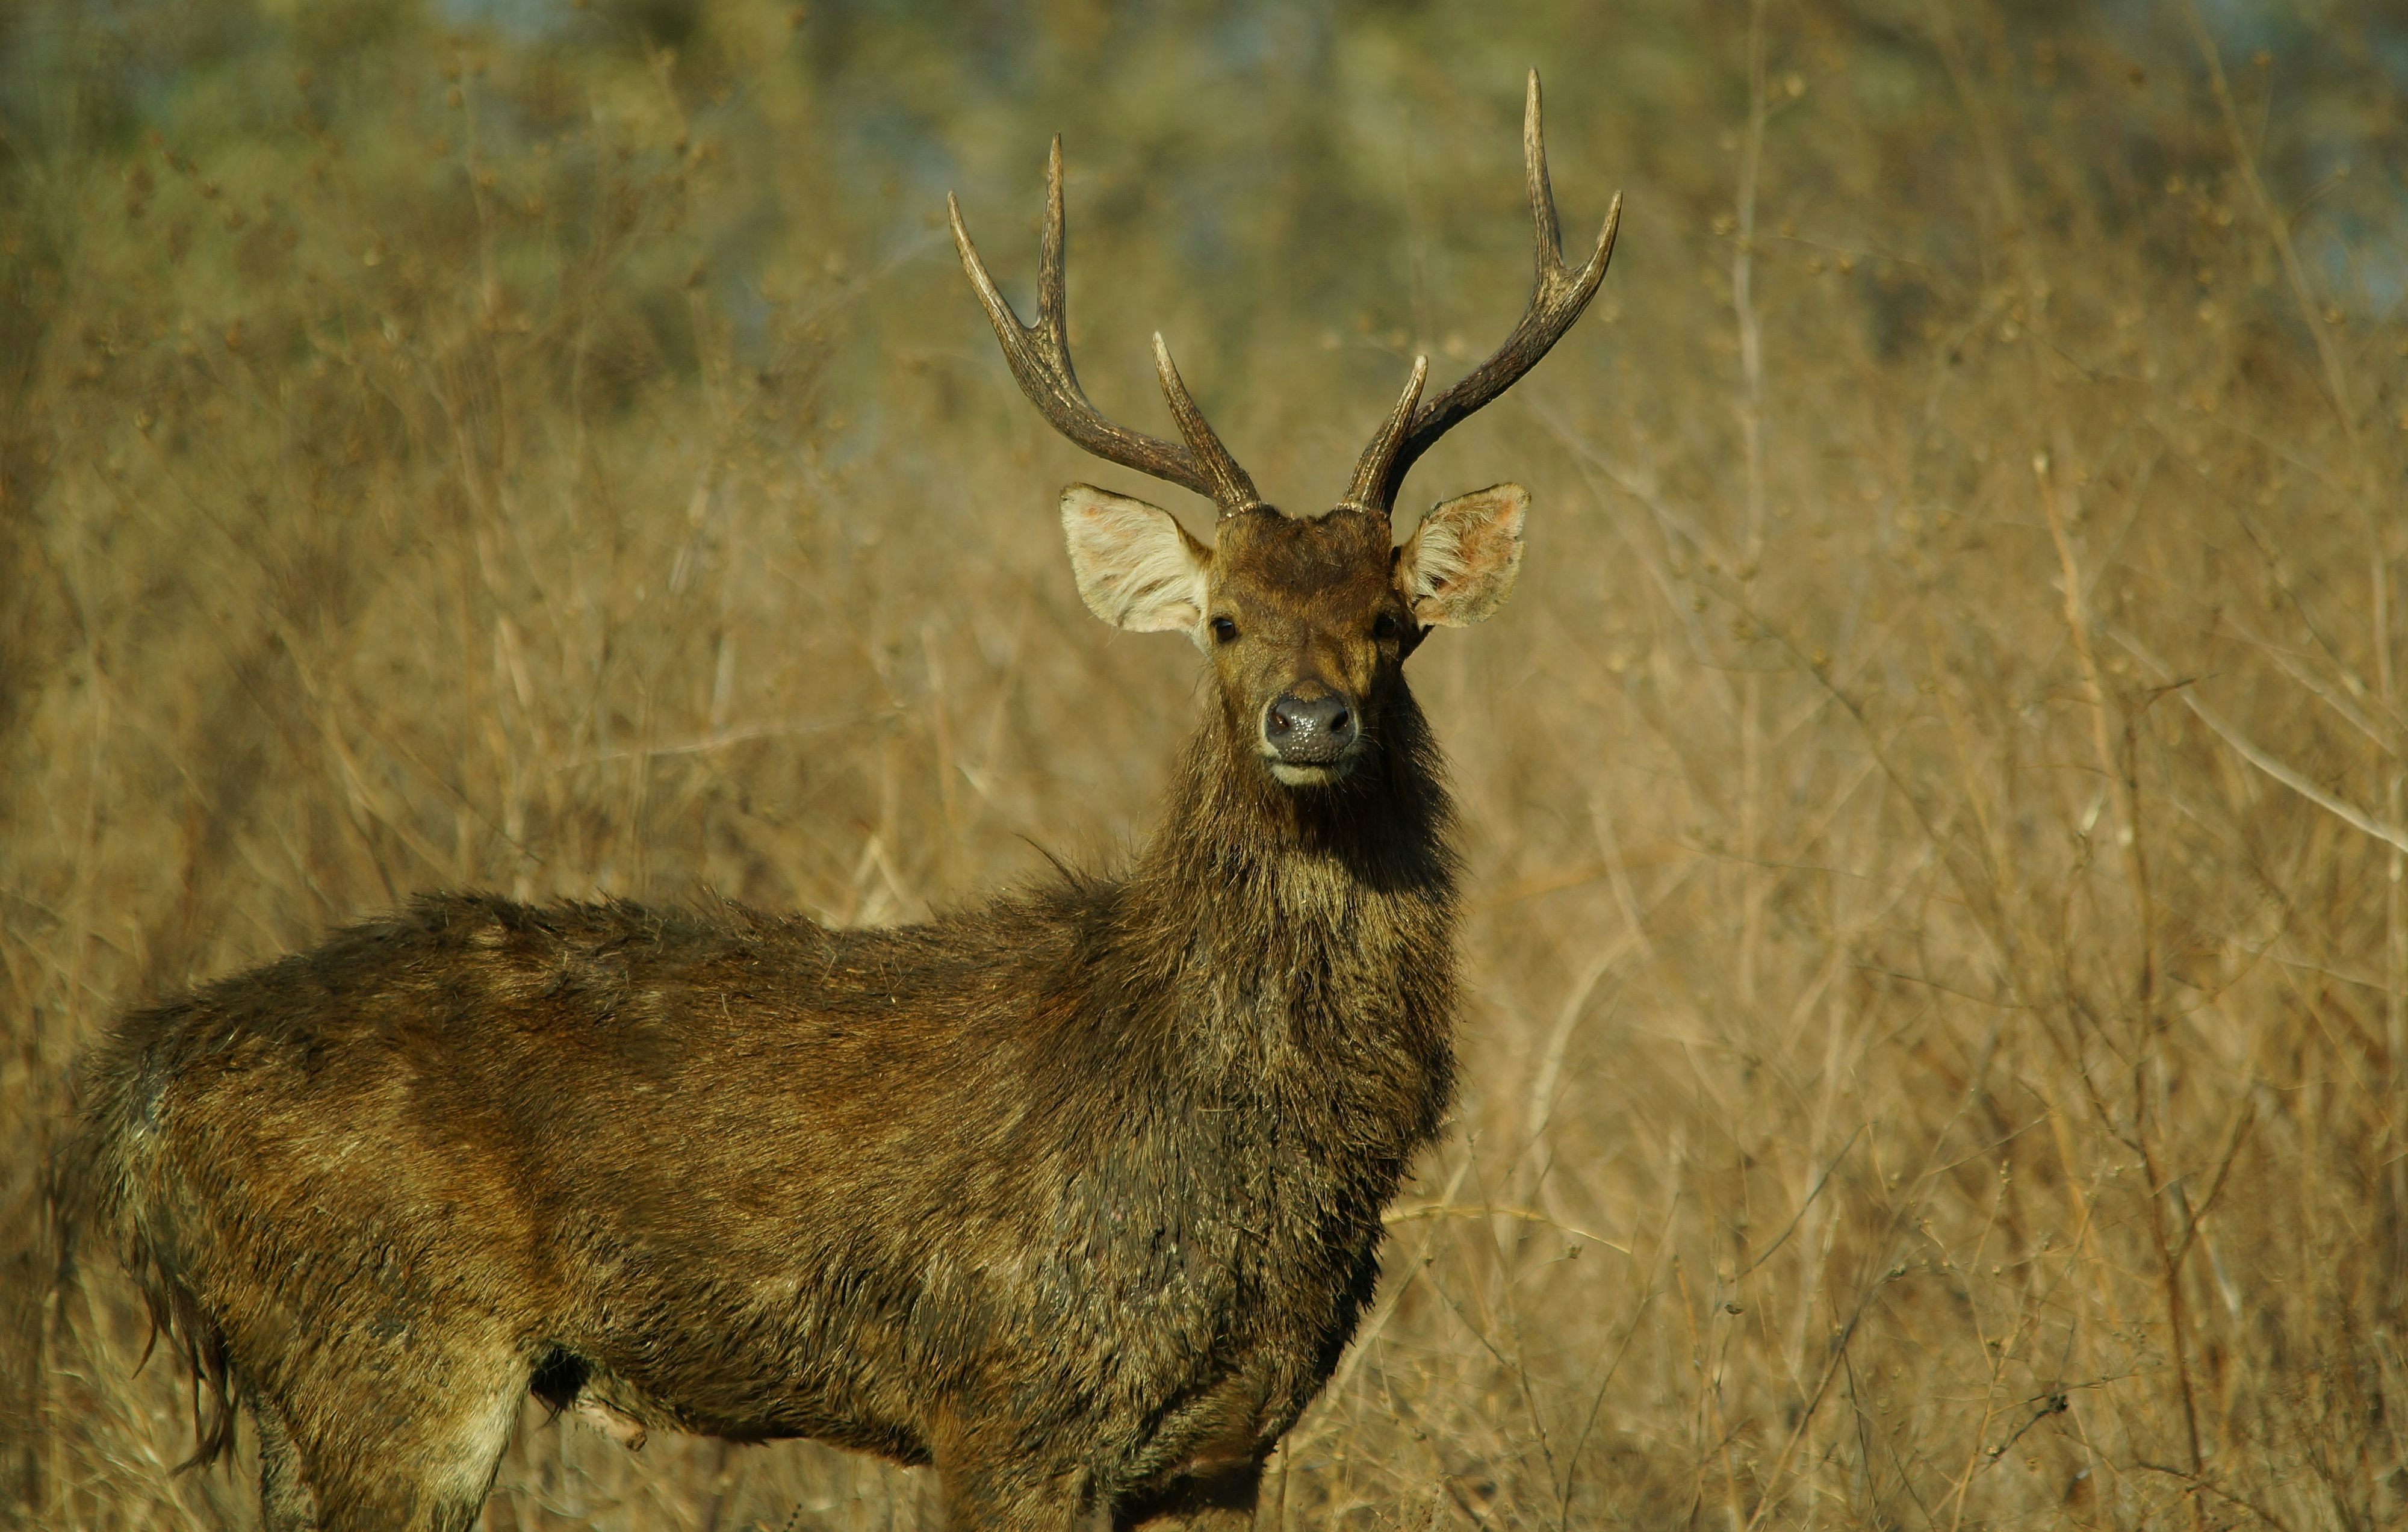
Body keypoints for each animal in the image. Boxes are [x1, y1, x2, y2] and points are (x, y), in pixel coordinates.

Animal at [59, 71, 1618, 1532]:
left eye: (1390, 622)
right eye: (1224, 622)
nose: (1310, 720)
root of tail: (137, 1096)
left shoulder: (1222, 1444)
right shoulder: (1009, 1400)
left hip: (302, 1379)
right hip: (392, 1344)